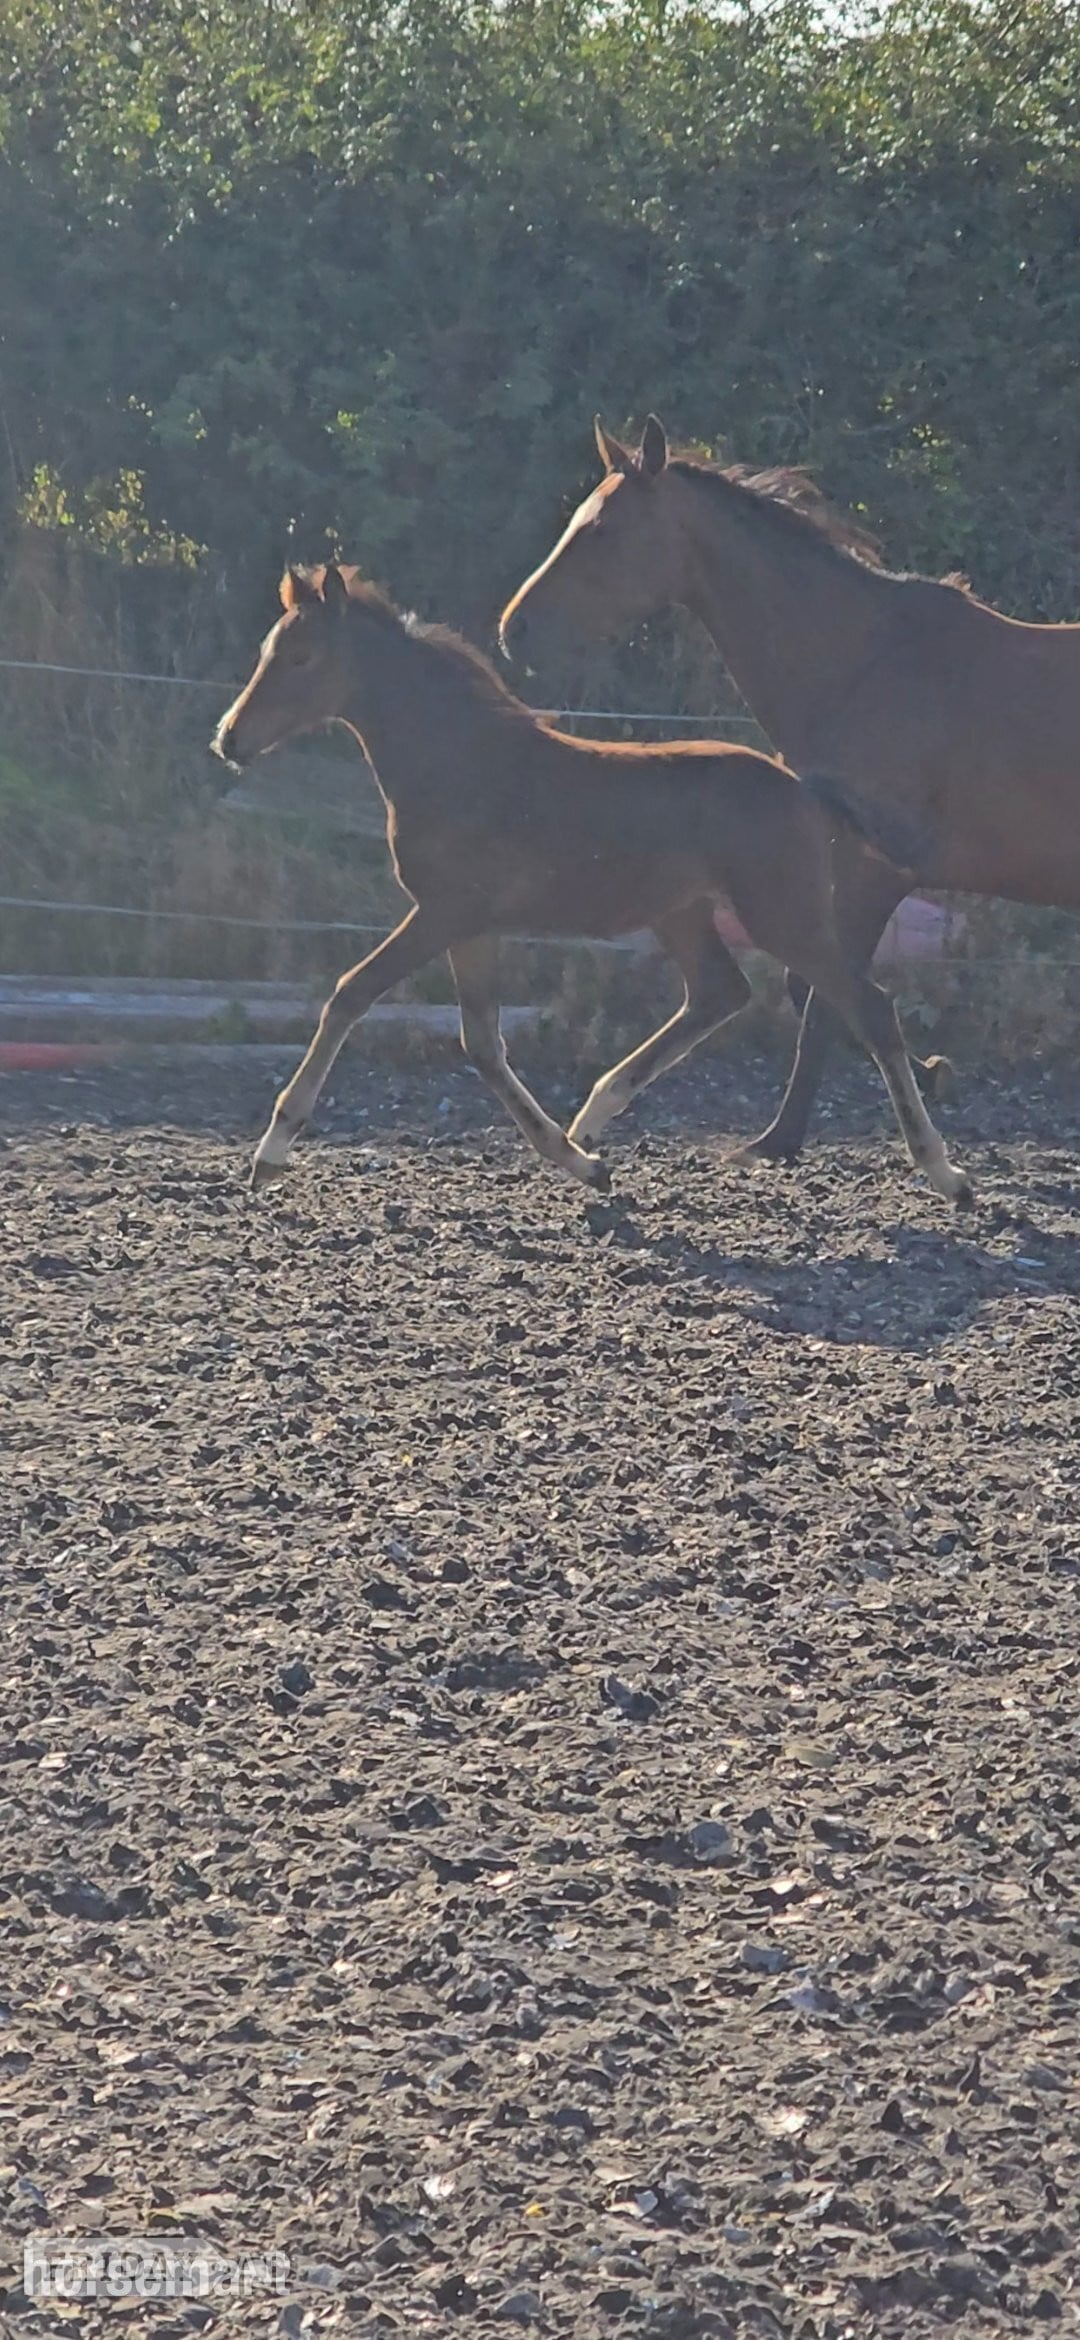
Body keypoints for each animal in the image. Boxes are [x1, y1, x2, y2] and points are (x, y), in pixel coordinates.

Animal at [211, 563, 970, 1210]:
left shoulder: (443, 912)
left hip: (783, 914)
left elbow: (351, 993)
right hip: (683, 913)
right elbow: (481, 1043)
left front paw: (271, 1151)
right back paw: (593, 1116)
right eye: (269, 651)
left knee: (867, 1007)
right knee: (719, 993)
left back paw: (944, 1171)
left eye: (302, 659)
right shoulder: (470, 925)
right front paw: (582, 1164)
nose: (229, 740)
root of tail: (802, 786)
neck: (457, 760)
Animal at [500, 413, 1080, 1161]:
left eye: (603, 531)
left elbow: (830, 1000)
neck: (861, 666)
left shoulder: (875, 869)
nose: (514, 630)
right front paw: (929, 1073)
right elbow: (816, 993)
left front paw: (778, 1139)